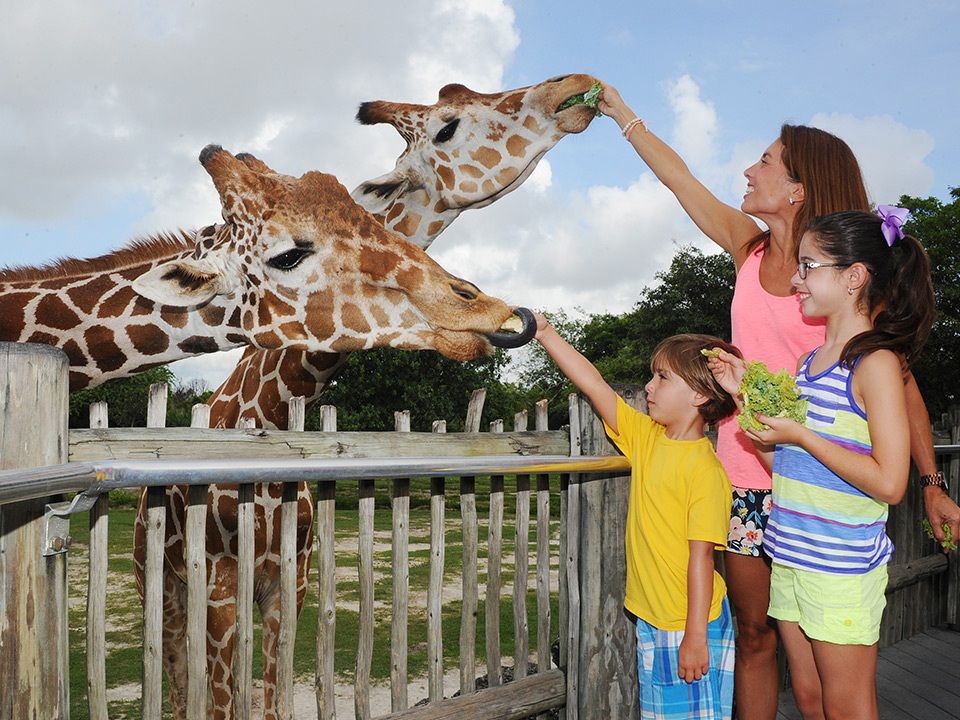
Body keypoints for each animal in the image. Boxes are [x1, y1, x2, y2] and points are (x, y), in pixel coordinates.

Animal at [131, 74, 596, 720]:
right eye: (448, 124)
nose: (575, 88)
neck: (270, 417)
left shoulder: (290, 582)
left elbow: (271, 699)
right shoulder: (220, 587)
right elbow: (221, 700)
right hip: (160, 583)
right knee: (177, 681)